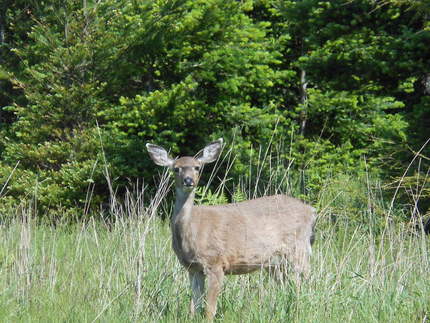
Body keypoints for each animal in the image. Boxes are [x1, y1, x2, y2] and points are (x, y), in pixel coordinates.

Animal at [146, 139, 318, 322]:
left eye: (197, 167)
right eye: (176, 168)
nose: (188, 180)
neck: (192, 232)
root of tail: (311, 211)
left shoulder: (215, 261)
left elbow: (209, 309)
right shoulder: (192, 268)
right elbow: (194, 306)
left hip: (299, 249)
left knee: (307, 281)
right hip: (275, 263)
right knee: (289, 286)